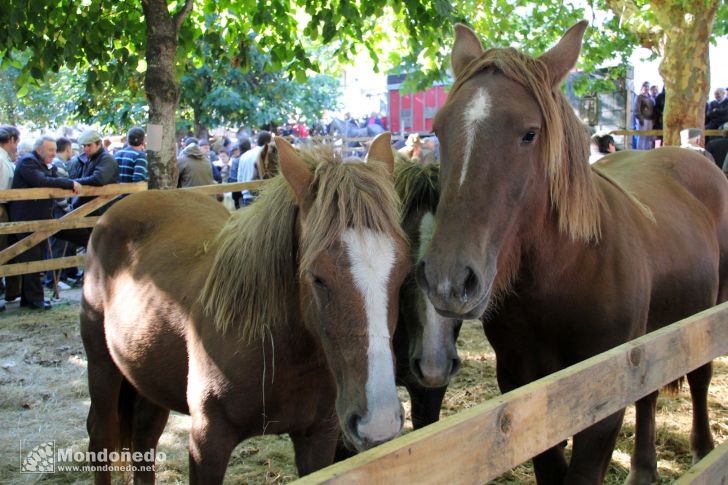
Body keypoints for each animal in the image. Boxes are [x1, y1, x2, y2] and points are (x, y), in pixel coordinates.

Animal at [82, 133, 412, 484]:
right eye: (317, 277)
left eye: (403, 272)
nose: (379, 422)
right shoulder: (207, 442)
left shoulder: (318, 437)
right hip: (102, 366)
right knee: (102, 436)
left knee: (145, 438)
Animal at [416, 21, 728, 484]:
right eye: (438, 130)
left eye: (530, 133)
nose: (447, 281)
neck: (565, 276)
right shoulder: (522, 386)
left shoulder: (602, 397)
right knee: (649, 395)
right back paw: (643, 469)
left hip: (704, 319)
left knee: (700, 378)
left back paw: (704, 450)